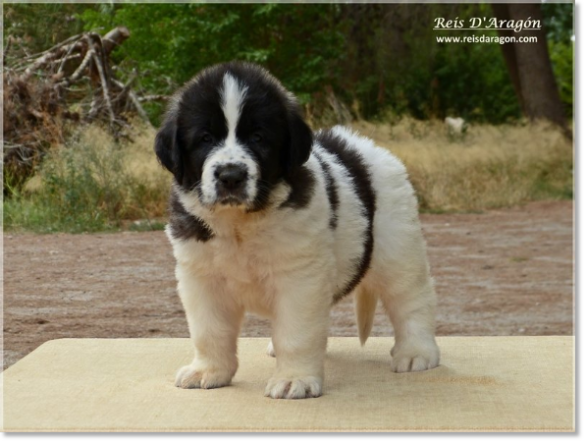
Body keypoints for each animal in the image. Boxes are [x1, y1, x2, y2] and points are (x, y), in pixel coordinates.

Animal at [155, 63, 438, 402]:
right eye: (205, 138)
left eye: (259, 137)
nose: (231, 176)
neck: (240, 224)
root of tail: (367, 147)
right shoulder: (201, 276)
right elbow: (208, 330)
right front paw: (208, 371)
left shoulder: (300, 279)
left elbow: (297, 332)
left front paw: (295, 379)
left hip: (397, 247)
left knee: (411, 299)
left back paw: (417, 352)